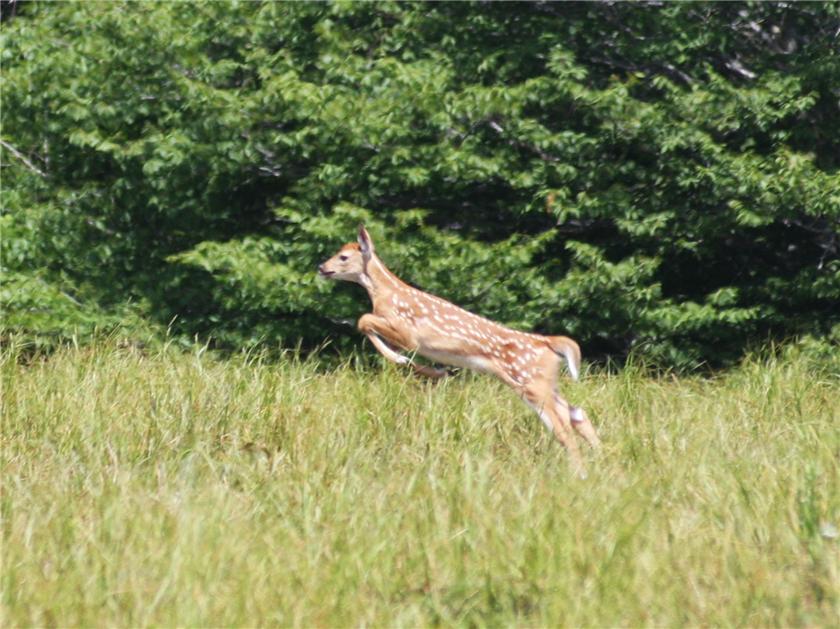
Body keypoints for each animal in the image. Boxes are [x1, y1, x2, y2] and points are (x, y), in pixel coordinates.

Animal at [318, 226, 600, 476]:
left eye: (343, 257)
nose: (322, 267)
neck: (384, 293)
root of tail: (548, 343)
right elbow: (368, 326)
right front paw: (431, 370)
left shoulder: (408, 332)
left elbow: (364, 321)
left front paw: (414, 364)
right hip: (543, 382)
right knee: (576, 412)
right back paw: (603, 460)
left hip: (531, 382)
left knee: (562, 424)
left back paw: (581, 472)